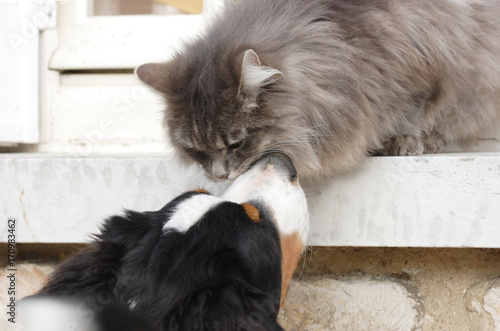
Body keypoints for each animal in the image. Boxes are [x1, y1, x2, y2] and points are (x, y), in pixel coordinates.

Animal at [137, 0, 500, 182]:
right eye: (196, 151)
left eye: (236, 144)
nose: (219, 177)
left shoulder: (416, 63)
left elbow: (411, 112)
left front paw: (403, 141)